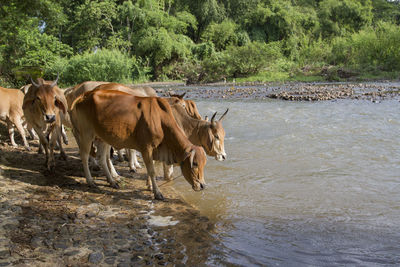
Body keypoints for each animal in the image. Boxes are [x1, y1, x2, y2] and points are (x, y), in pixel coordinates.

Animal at [69, 89, 206, 200]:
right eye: (194, 164)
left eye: (204, 164)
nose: (203, 185)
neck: (160, 119)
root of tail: (85, 94)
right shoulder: (146, 148)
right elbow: (151, 171)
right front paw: (157, 193)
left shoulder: (154, 150)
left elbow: (151, 169)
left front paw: (149, 186)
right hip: (86, 133)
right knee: (84, 156)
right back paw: (90, 181)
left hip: (103, 137)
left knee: (102, 159)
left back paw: (112, 181)